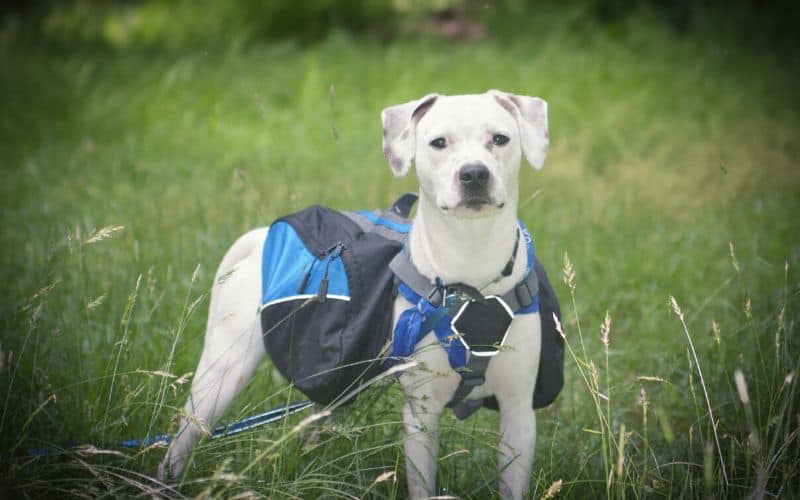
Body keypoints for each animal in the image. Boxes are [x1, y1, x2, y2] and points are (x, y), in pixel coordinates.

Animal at [161, 91, 552, 500]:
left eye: (500, 139)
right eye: (439, 142)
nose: (474, 173)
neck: (471, 267)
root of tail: (260, 238)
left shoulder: (518, 413)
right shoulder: (422, 413)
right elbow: (422, 483)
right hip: (221, 374)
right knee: (180, 441)